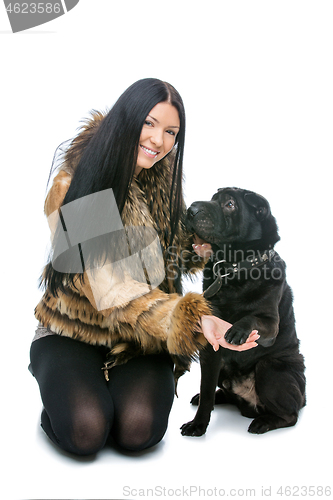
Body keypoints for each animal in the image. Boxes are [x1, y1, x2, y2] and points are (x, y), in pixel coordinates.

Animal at [180, 188, 304, 434]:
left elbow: (252, 317)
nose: (191, 210)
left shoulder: (270, 324)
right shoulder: (210, 351)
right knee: (221, 393)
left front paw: (238, 329)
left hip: (271, 369)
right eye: (212, 198)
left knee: (290, 415)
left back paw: (263, 422)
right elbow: (207, 389)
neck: (234, 272)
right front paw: (198, 423)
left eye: (230, 204)